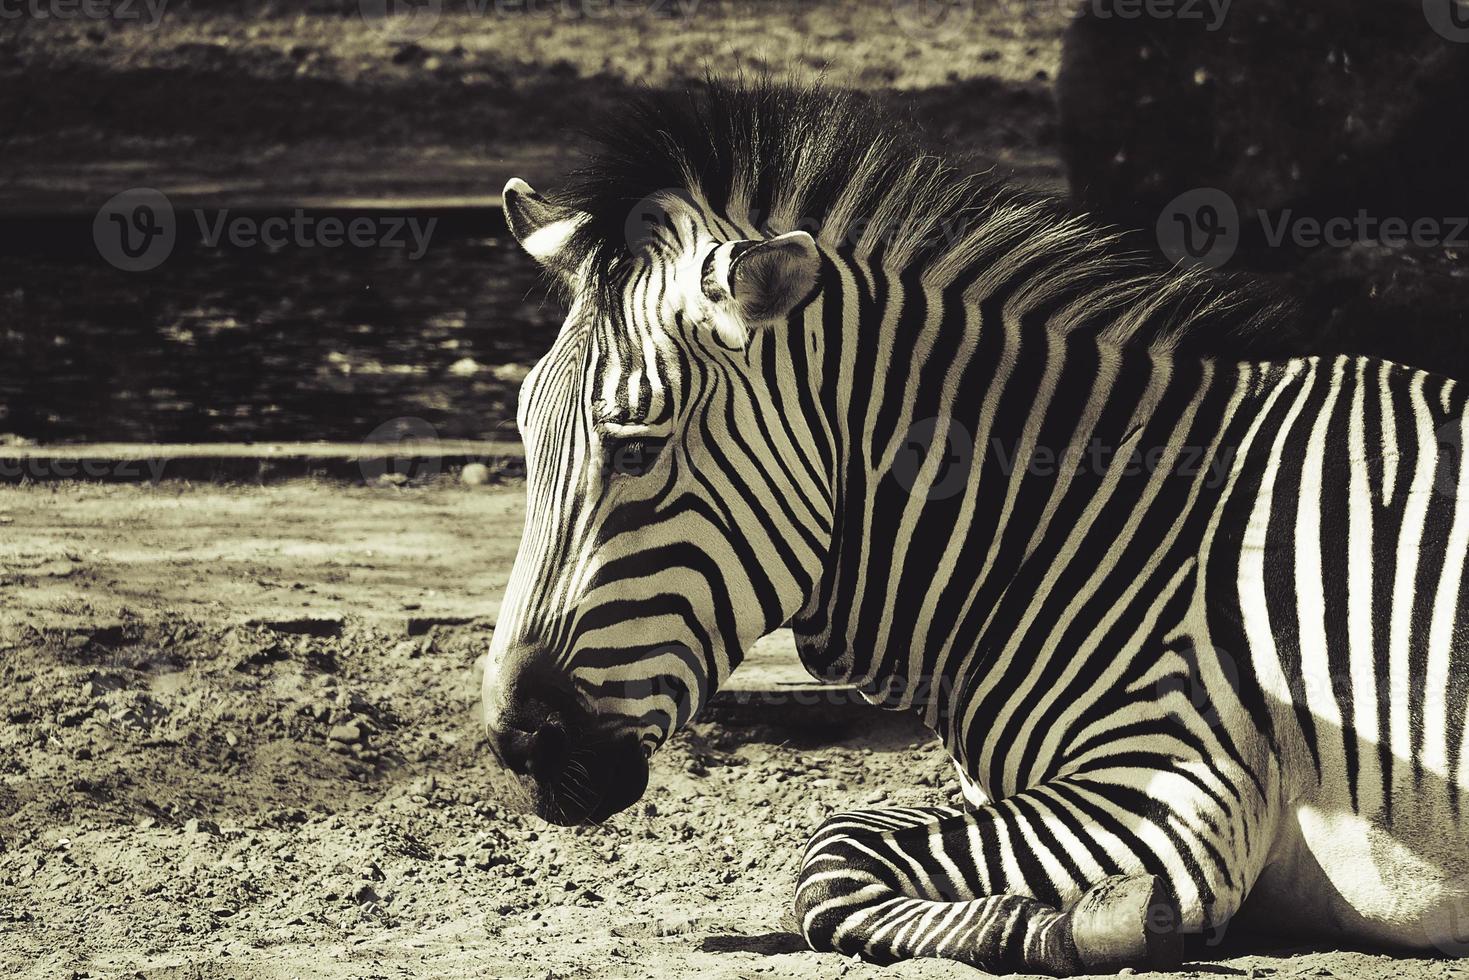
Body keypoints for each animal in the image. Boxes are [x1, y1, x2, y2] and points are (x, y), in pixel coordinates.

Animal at [481, 80, 1469, 975]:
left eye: (635, 450)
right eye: (524, 431)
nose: (515, 742)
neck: (1092, 524)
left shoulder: (1174, 777)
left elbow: (827, 857)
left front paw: (1082, 925)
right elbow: (848, 838)